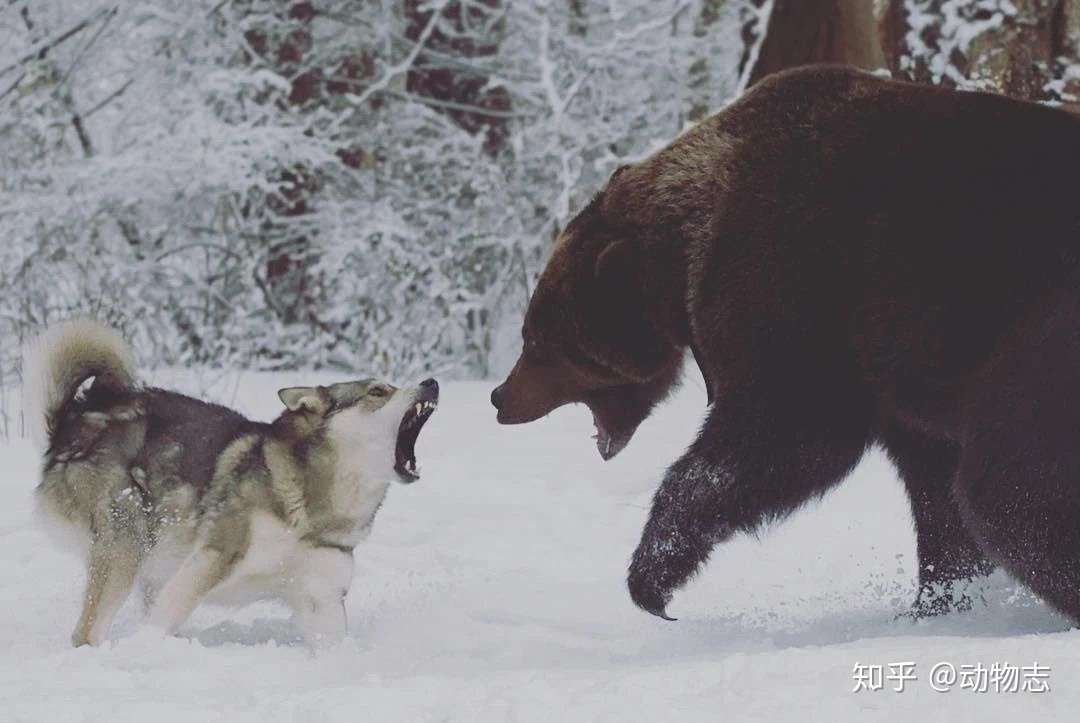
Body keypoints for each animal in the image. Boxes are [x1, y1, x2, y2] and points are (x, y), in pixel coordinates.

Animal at [25, 317, 438, 644]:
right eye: (378, 391)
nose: (431, 382)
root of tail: (73, 423)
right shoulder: (211, 559)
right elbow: (161, 620)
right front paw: (143, 651)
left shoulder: (322, 599)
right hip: (128, 541)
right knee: (87, 633)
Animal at [494, 64, 1080, 622]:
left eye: (536, 339)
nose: (501, 397)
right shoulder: (893, 381)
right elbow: (936, 494)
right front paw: (935, 601)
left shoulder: (798, 289)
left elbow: (784, 433)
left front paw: (652, 578)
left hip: (1038, 338)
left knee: (1009, 489)